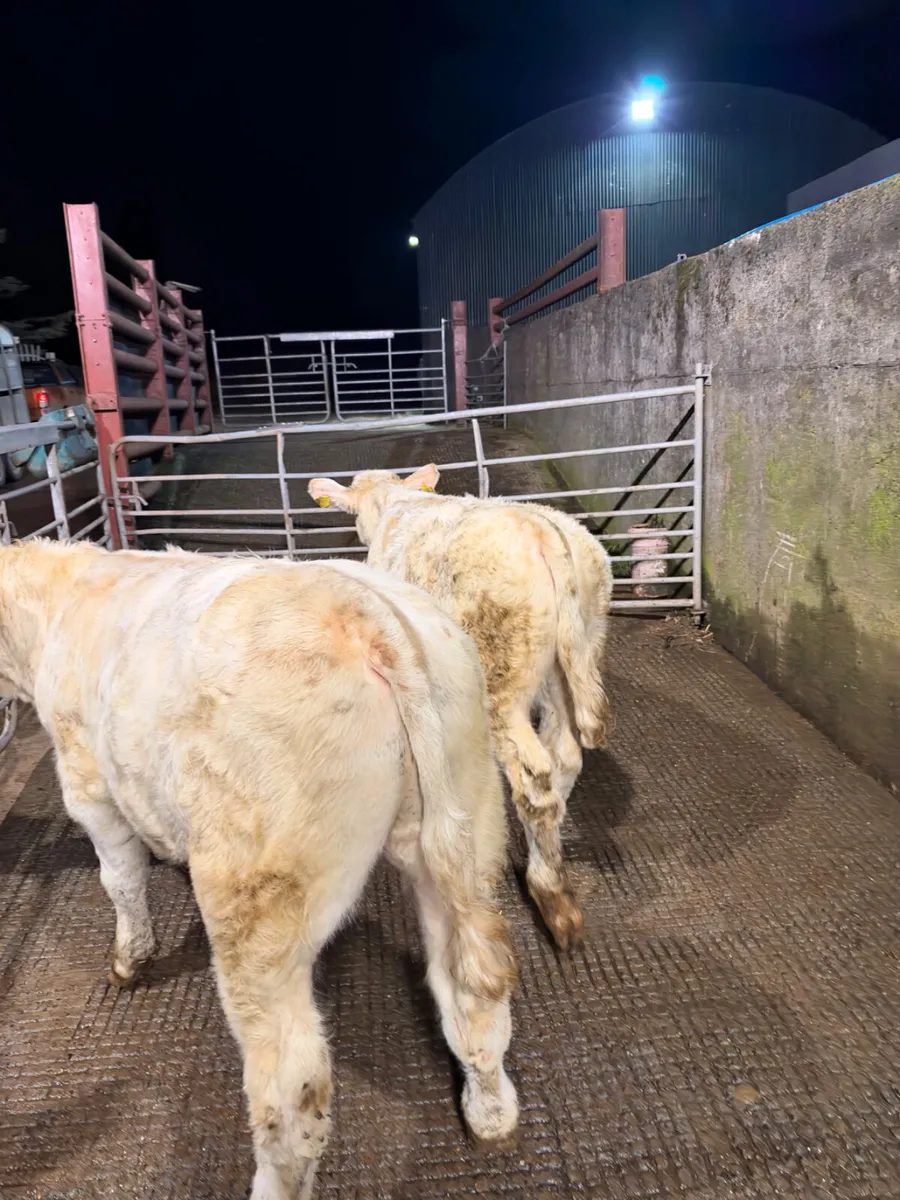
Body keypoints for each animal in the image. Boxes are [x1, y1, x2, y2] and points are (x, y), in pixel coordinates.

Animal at [0, 540, 518, 1200]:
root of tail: (358, 610)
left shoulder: (88, 784)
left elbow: (119, 880)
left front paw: (129, 958)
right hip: (468, 830)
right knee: (473, 992)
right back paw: (491, 1114)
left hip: (257, 904)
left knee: (292, 1091)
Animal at [308, 464, 614, 953]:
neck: (396, 502)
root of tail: (540, 531)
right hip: (574, 657)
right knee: (565, 756)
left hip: (501, 676)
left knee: (535, 780)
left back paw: (553, 899)